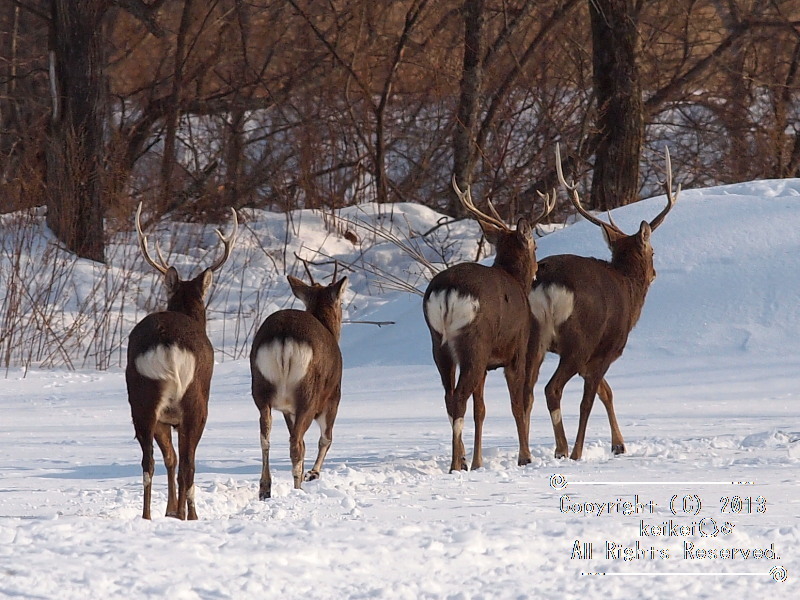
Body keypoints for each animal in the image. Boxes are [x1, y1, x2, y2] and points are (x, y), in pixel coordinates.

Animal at [125, 203, 238, 520]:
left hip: (142, 400)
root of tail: (167, 343)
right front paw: (180, 513)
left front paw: (171, 512)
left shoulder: (164, 420)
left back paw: (147, 516)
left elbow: (170, 459)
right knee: (189, 464)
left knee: (149, 463)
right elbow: (183, 462)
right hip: (195, 402)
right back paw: (194, 517)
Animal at [422, 178, 552, 474]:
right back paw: (455, 465)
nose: (538, 269)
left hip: (439, 343)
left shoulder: (486, 365)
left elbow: (480, 409)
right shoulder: (517, 349)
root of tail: (447, 292)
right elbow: (517, 404)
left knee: (449, 397)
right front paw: (525, 457)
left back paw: (460, 460)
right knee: (459, 397)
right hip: (475, 341)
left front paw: (478, 461)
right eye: (535, 246)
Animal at [532, 144, 680, 460]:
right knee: (554, 389)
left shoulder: (594, 357)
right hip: (578, 340)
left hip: (532, 338)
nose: (655, 274)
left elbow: (607, 392)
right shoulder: (607, 347)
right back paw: (567, 450)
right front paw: (592, 449)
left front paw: (619, 444)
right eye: (653, 251)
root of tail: (546, 281)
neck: (629, 290)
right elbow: (593, 397)